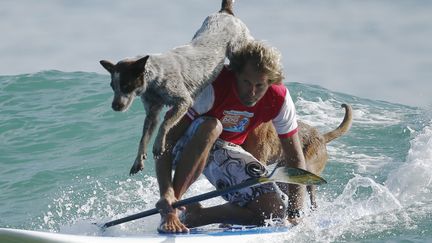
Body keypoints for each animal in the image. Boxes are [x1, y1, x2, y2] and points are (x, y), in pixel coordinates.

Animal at [99, 0, 251, 175]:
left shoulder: (183, 101)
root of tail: (225, 12)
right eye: (113, 86)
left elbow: (165, 124)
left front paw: (158, 146)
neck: (153, 80)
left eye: (126, 85)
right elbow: (143, 138)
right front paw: (138, 160)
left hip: (238, 46)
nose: (115, 106)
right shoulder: (152, 114)